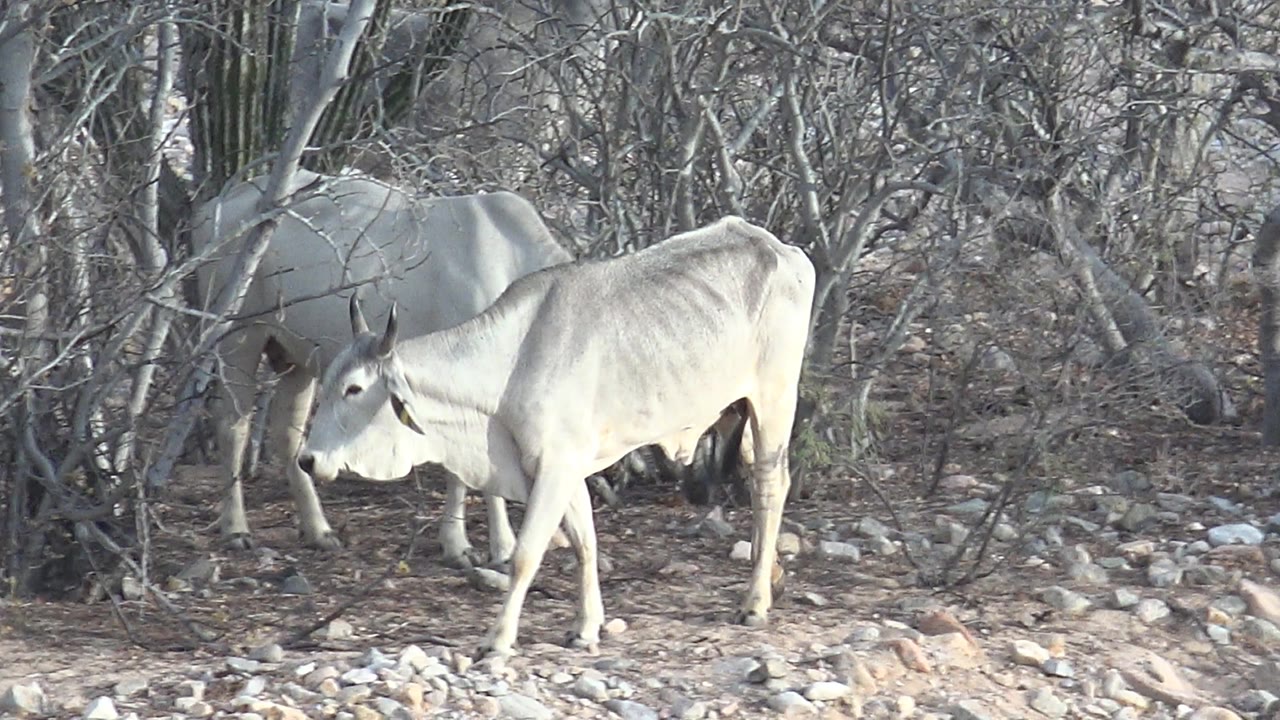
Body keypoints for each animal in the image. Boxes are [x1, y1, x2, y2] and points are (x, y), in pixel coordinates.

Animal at [192, 169, 572, 566]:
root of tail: (215, 205)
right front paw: (485, 546)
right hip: (238, 337)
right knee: (232, 425)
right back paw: (236, 529)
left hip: (296, 357)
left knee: (288, 432)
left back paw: (319, 530)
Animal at [297, 216, 816, 656]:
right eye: (327, 382)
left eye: (354, 388)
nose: (308, 459)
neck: (508, 366)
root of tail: (781, 248)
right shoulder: (560, 470)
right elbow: (585, 542)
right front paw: (585, 627)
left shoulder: (554, 466)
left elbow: (526, 555)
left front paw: (498, 639)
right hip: (740, 411)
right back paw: (771, 577)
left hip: (774, 401)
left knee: (769, 486)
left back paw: (755, 602)